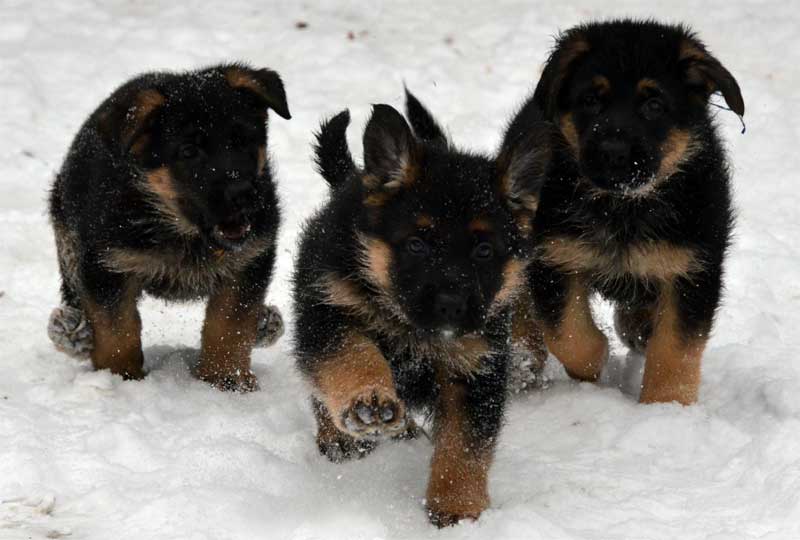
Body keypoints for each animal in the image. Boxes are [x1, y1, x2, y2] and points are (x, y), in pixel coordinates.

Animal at [47, 64, 290, 392]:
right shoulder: (106, 265)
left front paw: (226, 379)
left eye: (243, 140)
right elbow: (116, 329)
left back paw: (263, 324)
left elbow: (230, 324)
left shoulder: (249, 260)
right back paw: (73, 332)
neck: (184, 231)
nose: (244, 195)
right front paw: (120, 378)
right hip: (68, 241)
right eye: (188, 151)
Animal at [504, 17, 748, 404]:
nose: (613, 152)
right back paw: (524, 360)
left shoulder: (692, 268)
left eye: (654, 105)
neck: (623, 206)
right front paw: (595, 364)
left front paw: (666, 406)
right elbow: (568, 333)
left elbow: (675, 348)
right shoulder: (554, 258)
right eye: (590, 100)